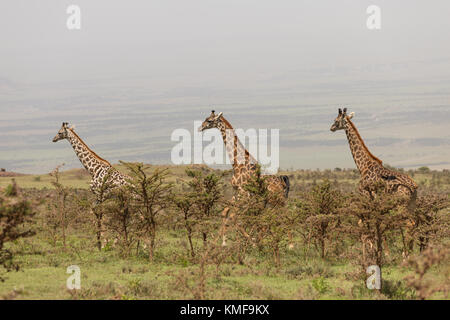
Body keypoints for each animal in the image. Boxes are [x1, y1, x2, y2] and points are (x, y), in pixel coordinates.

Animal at [53, 121, 131, 249]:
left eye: (59, 132)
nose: (53, 139)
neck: (92, 170)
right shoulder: (97, 196)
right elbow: (93, 212)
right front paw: (99, 241)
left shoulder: (101, 195)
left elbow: (102, 215)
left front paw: (104, 242)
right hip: (126, 199)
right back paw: (121, 242)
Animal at [198, 111, 290, 246]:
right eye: (205, 118)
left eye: (209, 120)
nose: (200, 128)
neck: (237, 164)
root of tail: (282, 182)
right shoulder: (236, 192)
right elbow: (225, 212)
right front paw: (221, 242)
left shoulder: (244, 193)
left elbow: (233, 216)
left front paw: (250, 241)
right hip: (272, 200)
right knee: (272, 216)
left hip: (276, 199)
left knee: (282, 215)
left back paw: (289, 244)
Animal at [330, 107, 418, 258]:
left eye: (336, 120)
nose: (331, 128)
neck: (363, 165)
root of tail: (413, 186)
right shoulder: (376, 201)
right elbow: (374, 221)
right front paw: (378, 249)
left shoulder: (366, 196)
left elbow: (364, 222)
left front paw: (375, 250)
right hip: (411, 205)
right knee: (413, 224)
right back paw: (411, 252)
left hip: (401, 206)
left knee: (409, 223)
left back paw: (405, 253)